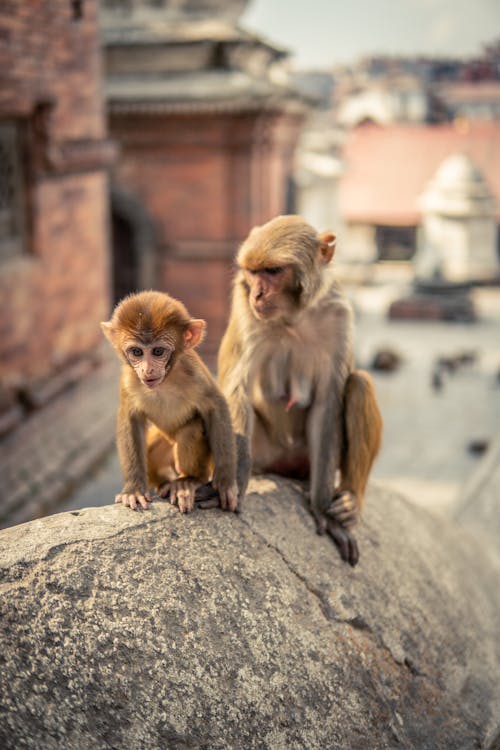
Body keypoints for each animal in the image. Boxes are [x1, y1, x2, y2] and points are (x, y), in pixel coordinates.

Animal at [101, 292, 238, 516]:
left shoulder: (193, 371)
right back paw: (166, 483)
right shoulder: (129, 378)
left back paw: (188, 481)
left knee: (191, 429)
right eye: (137, 352)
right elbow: (130, 420)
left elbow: (215, 407)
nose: (147, 370)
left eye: (158, 351)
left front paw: (226, 483)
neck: (164, 381)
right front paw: (133, 489)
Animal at [219, 214, 382, 568]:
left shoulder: (338, 315)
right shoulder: (243, 307)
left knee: (359, 383)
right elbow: (237, 389)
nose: (257, 295)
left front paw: (324, 510)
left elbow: (327, 405)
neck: (293, 316)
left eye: (273, 271)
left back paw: (350, 501)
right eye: (252, 272)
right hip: (264, 453)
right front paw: (228, 486)